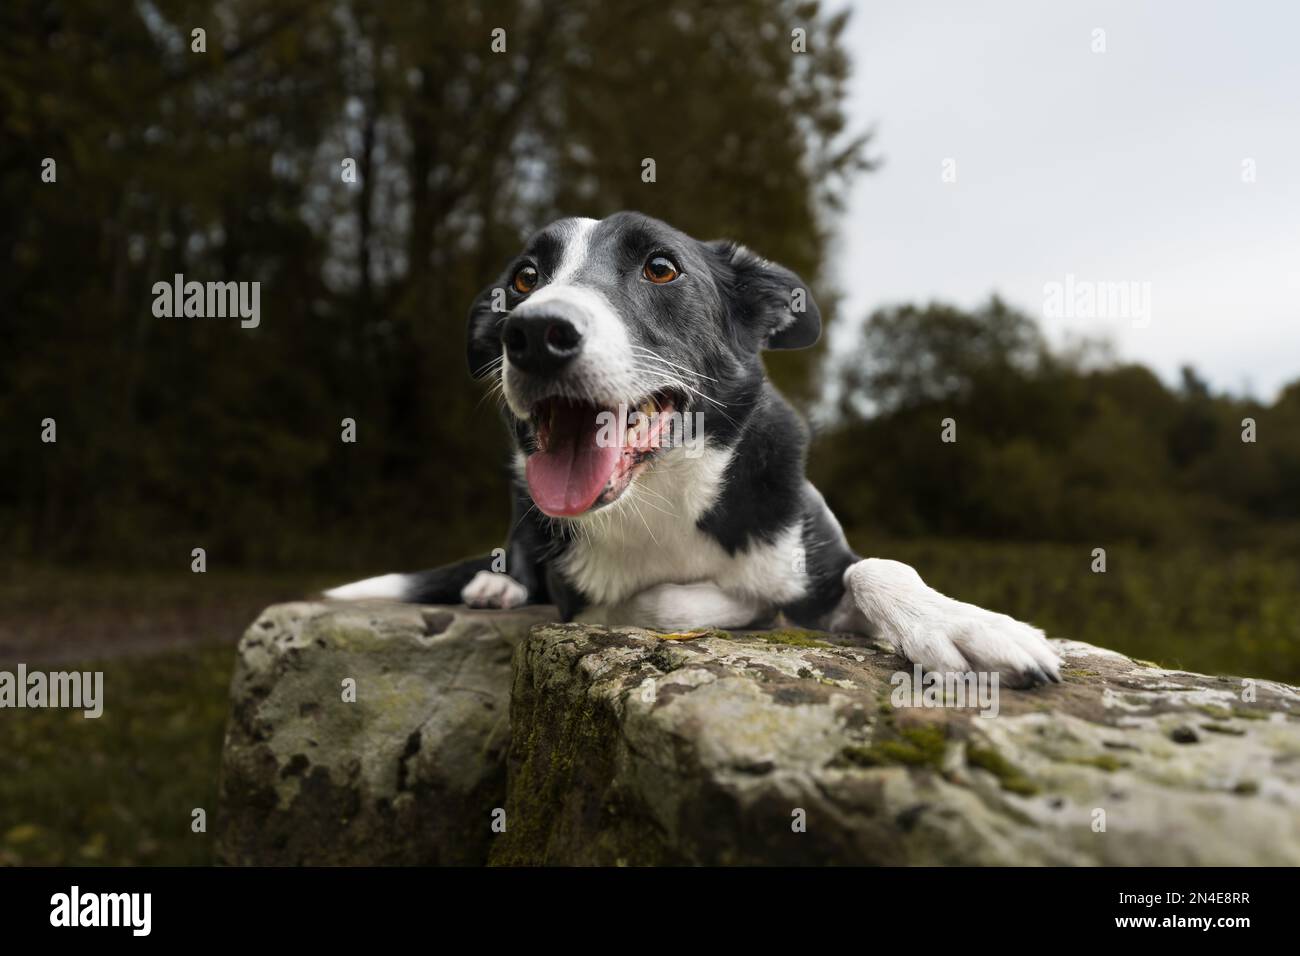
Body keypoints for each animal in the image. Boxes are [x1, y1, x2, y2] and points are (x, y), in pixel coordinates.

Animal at [322, 210, 1055, 686]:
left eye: (660, 268)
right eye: (524, 279)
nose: (532, 334)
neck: (666, 491)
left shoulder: (816, 554)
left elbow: (875, 568)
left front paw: (965, 624)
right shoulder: (579, 601)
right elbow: (665, 600)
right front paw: (748, 607)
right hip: (522, 496)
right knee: (519, 548)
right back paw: (495, 584)